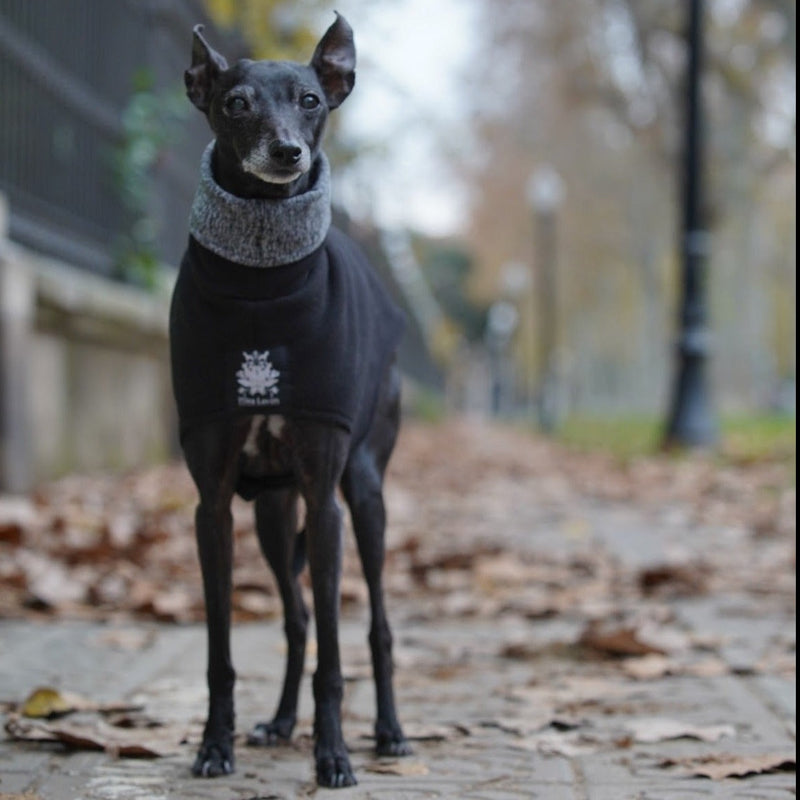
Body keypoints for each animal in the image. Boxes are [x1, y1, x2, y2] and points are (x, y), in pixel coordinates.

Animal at [169, 12, 410, 788]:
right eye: (236, 102)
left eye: (310, 100)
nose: (287, 152)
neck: (260, 284)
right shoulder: (212, 504)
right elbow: (220, 650)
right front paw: (215, 746)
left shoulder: (324, 497)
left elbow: (337, 654)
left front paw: (332, 755)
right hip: (275, 515)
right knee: (298, 617)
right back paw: (277, 722)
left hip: (364, 494)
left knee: (376, 626)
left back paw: (390, 732)